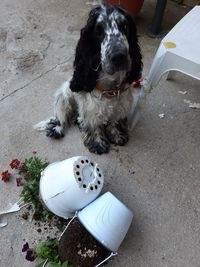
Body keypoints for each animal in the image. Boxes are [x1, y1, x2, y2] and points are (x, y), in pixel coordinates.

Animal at [34, 4, 142, 155]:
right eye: (98, 31)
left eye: (125, 26)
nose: (118, 56)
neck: (111, 87)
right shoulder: (90, 107)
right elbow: (92, 123)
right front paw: (97, 143)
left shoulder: (121, 105)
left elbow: (114, 121)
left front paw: (117, 135)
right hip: (63, 97)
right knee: (60, 117)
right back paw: (57, 129)